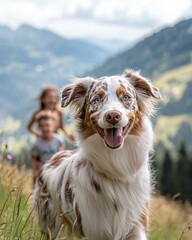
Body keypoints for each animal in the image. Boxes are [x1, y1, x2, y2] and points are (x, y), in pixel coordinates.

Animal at [33, 68, 160, 239]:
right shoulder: (94, 228)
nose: (113, 116)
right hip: (52, 225)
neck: (117, 166)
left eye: (126, 97)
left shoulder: (136, 224)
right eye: (97, 99)